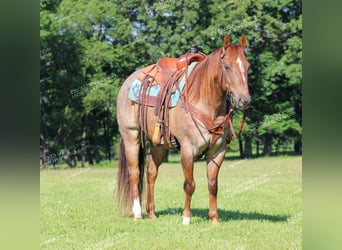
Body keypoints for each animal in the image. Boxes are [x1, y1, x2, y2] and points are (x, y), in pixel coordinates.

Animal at [116, 33, 250, 225]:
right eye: (227, 66)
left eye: (247, 66)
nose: (244, 100)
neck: (203, 101)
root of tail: (128, 81)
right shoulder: (187, 150)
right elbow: (189, 184)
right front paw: (186, 218)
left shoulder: (218, 151)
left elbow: (213, 185)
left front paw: (214, 219)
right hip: (131, 136)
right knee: (135, 173)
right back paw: (138, 214)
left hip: (158, 144)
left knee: (151, 173)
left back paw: (152, 213)